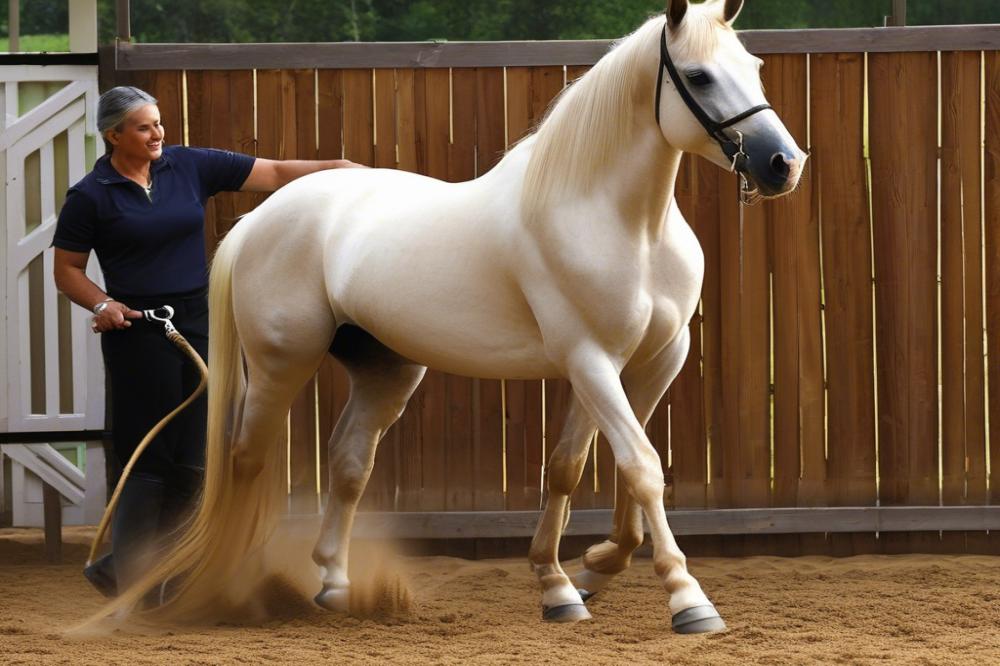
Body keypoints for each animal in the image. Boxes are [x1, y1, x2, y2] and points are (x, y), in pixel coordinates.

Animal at [105, 0, 804, 632]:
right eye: (700, 76)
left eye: (753, 66)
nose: (783, 164)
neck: (621, 221)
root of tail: (259, 219)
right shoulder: (591, 360)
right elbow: (641, 466)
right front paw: (687, 600)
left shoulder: (653, 360)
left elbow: (580, 469)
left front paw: (574, 579)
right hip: (282, 364)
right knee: (248, 460)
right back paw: (234, 588)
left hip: (385, 370)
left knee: (349, 463)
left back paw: (334, 584)